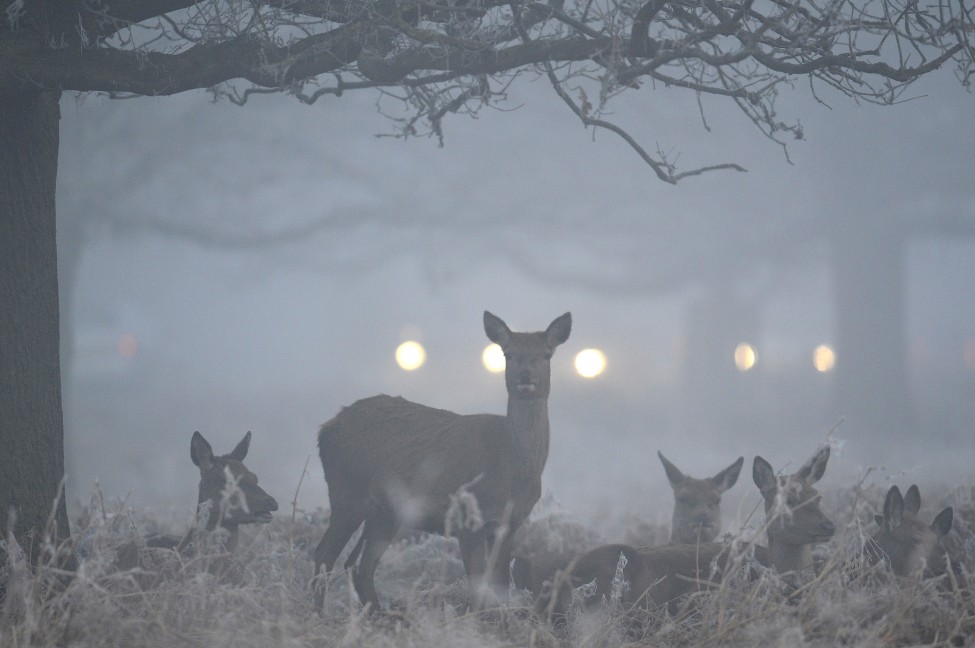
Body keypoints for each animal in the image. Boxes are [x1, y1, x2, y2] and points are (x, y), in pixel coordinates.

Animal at [312, 312, 572, 612]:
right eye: (507, 353)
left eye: (546, 354)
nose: (525, 376)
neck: (510, 466)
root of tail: (325, 429)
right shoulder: (466, 515)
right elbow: (477, 582)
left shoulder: (510, 523)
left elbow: (501, 584)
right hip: (346, 490)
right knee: (325, 553)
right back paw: (320, 612)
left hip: (383, 512)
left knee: (360, 566)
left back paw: (378, 613)